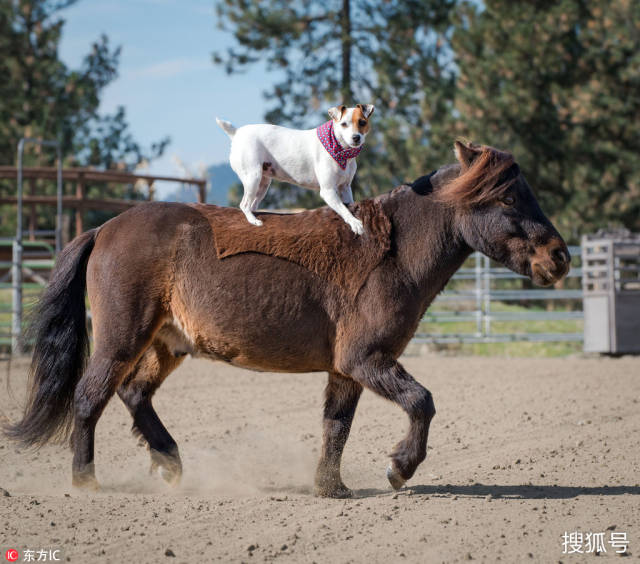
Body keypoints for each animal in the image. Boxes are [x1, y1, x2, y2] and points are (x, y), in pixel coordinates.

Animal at [3, 141, 564, 498]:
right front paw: (399, 468)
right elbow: (421, 402)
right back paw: (86, 483)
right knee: (89, 398)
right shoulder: (366, 360)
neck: (388, 251)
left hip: (167, 344)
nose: (559, 257)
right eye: (508, 196)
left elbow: (336, 427)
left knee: (133, 393)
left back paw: (169, 463)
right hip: (122, 339)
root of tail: (105, 228)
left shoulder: (346, 370)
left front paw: (331, 488)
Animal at [216, 103, 372, 234]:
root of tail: (237, 133)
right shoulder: (328, 191)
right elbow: (344, 209)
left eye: (362, 122)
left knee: (252, 205)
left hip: (263, 183)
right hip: (253, 178)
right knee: (244, 205)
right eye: (344, 124)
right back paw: (253, 221)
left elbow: (349, 205)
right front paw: (355, 223)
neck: (341, 150)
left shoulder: (345, 188)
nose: (356, 137)